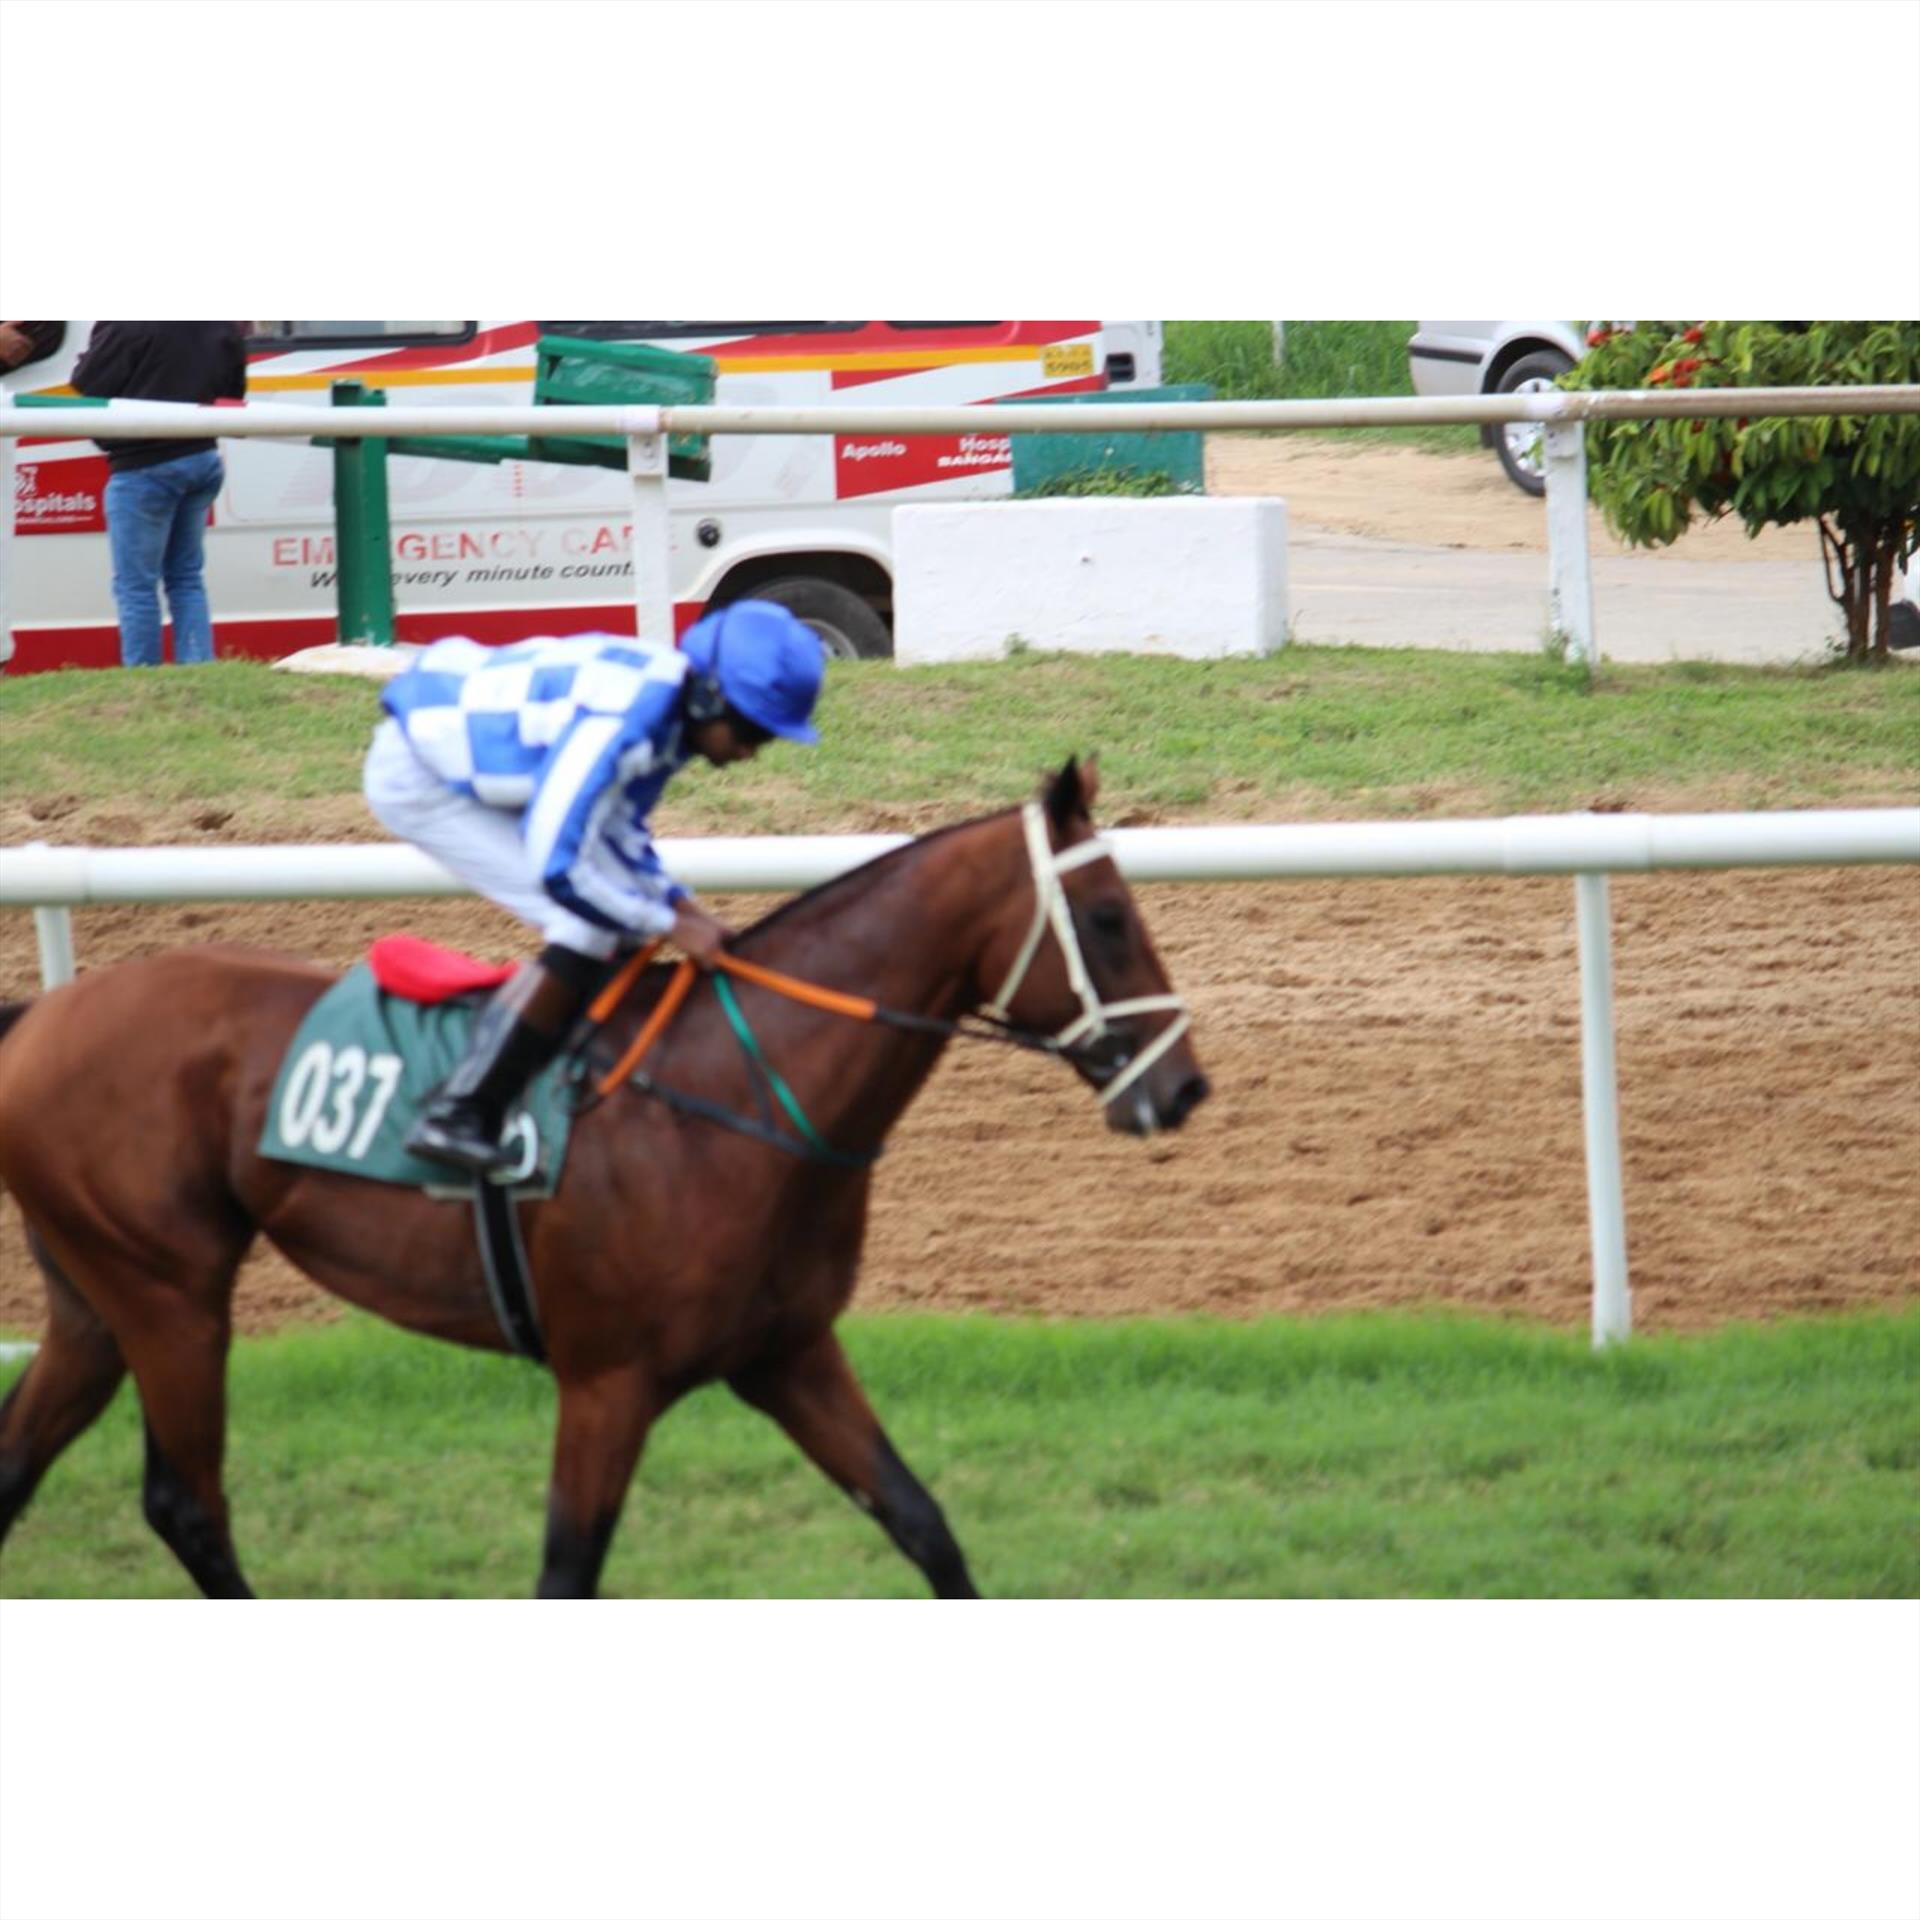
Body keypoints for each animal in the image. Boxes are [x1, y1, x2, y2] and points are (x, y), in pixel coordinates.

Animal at [0, 758, 1208, 1599]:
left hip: (96, 1302)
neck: (738, 1097)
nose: (1185, 1087)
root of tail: (43, 1017)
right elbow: (566, 1571)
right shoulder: (606, 1381)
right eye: (1109, 919)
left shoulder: (787, 1354)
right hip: (171, 1295)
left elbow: (923, 1524)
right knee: (189, 1504)